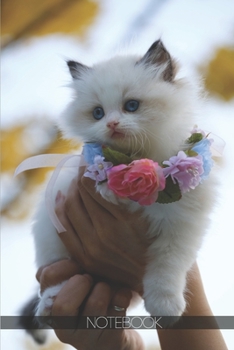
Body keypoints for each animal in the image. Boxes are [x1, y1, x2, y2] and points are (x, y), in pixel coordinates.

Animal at [21, 39, 217, 340]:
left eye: (131, 106)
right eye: (98, 113)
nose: (111, 123)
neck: (139, 157)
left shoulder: (182, 226)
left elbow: (167, 267)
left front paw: (165, 307)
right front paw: (112, 185)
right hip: (51, 236)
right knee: (58, 278)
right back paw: (49, 304)